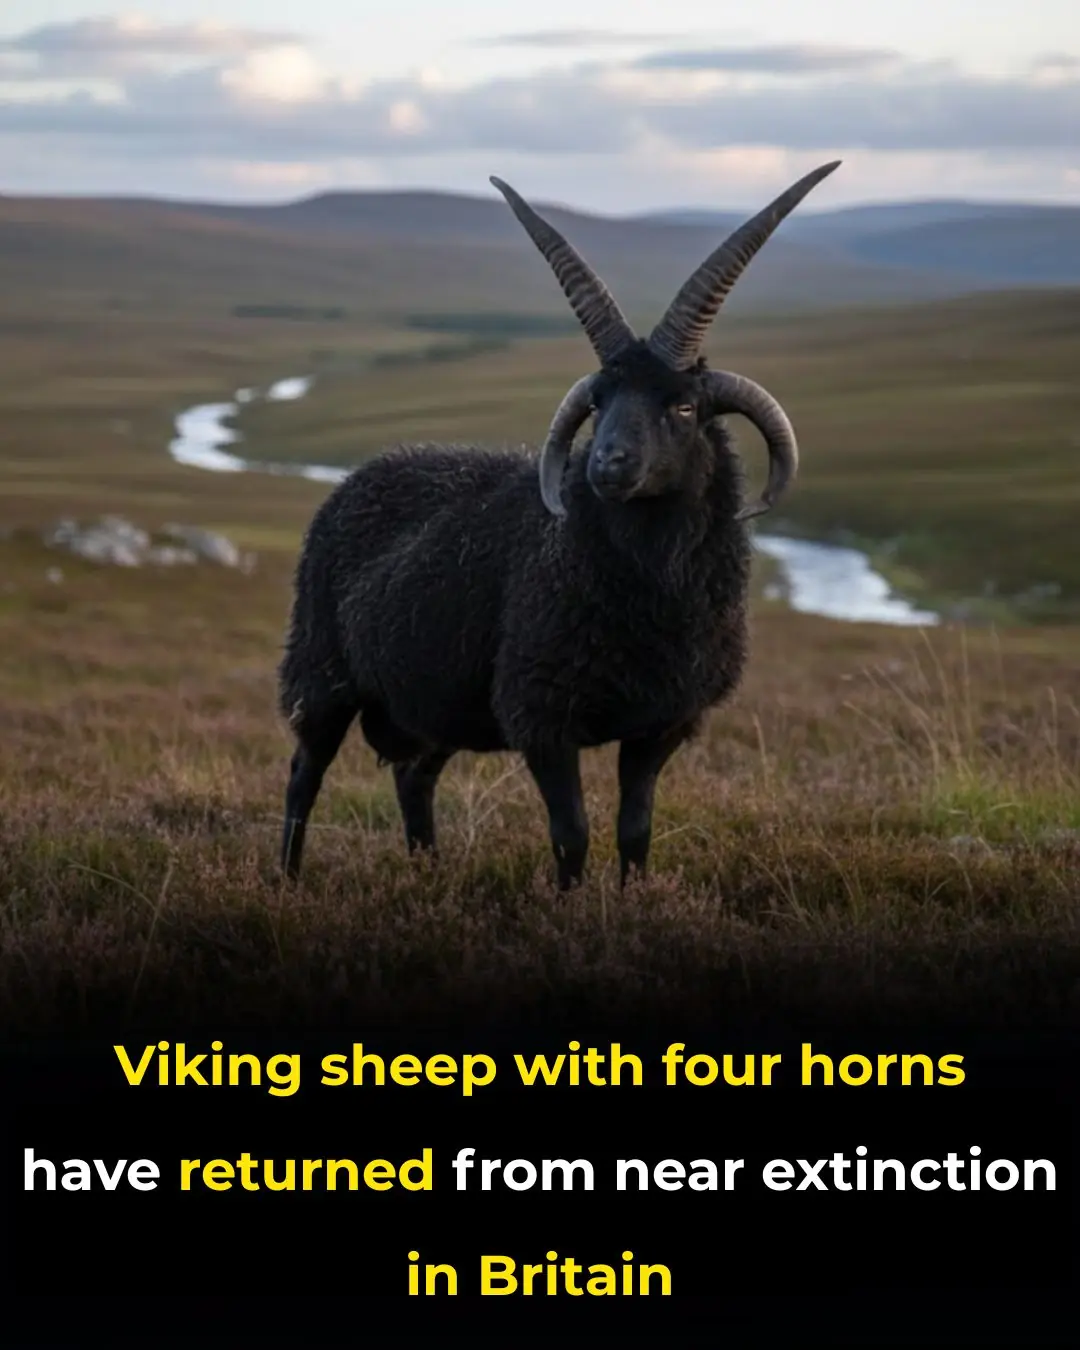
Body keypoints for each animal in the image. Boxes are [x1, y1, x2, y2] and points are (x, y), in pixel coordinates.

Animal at [278, 160, 841, 890]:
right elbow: (570, 835)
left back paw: (428, 870)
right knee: (304, 775)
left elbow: (635, 831)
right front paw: (569, 904)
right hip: (321, 672)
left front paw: (630, 899)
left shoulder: (659, 725)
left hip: (434, 700)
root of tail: (357, 478)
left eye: (685, 406)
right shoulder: (542, 716)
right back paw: (286, 880)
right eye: (598, 403)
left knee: (413, 777)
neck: (648, 588)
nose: (607, 464)